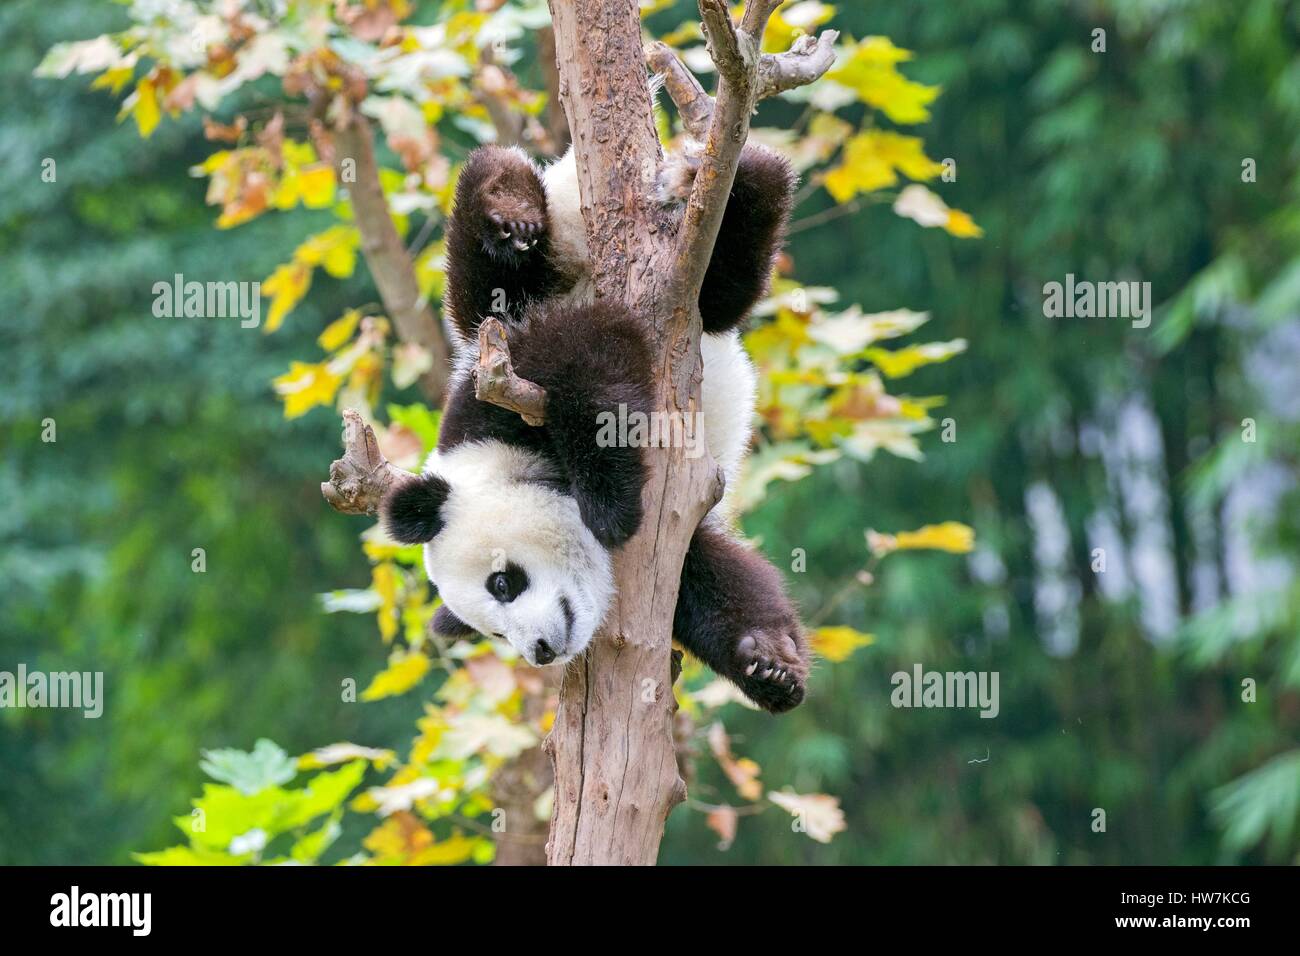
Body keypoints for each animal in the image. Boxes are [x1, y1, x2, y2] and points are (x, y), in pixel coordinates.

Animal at [377, 140, 806, 712]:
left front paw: (610, 507)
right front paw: (768, 662)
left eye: (502, 584)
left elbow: (592, 364)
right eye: (494, 633)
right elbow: (710, 579)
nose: (539, 651)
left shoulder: (501, 392)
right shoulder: (677, 533)